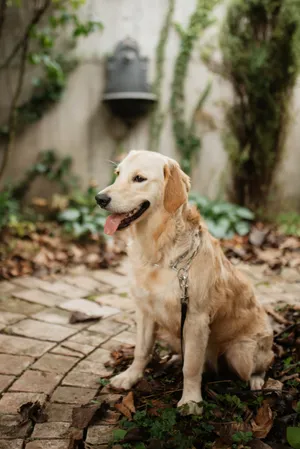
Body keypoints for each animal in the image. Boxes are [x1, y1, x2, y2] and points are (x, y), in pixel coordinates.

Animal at [96, 150, 274, 412]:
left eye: (139, 178)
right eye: (118, 174)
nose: (99, 198)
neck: (159, 251)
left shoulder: (195, 319)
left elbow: (191, 366)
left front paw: (190, 401)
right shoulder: (145, 310)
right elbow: (141, 350)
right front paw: (130, 376)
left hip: (242, 353)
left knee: (262, 363)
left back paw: (257, 380)